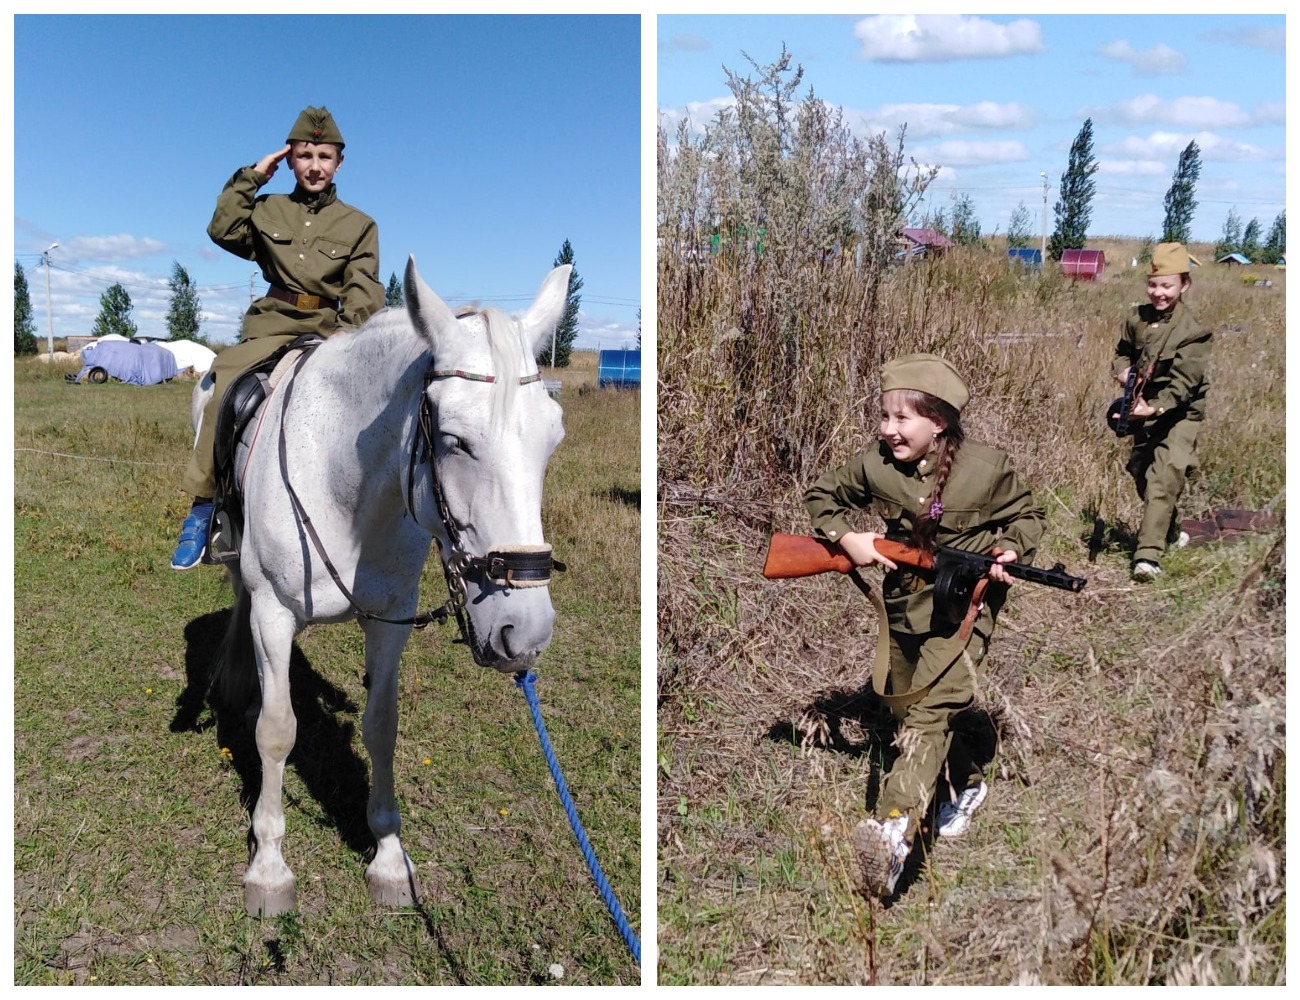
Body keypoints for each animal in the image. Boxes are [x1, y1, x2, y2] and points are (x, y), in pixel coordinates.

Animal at [209, 254, 569, 915]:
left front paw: (388, 857)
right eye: (454, 441)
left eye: (552, 440)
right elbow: (277, 731)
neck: (343, 486)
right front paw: (268, 867)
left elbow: (381, 726)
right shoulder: (273, 612)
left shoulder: (389, 620)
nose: (525, 631)